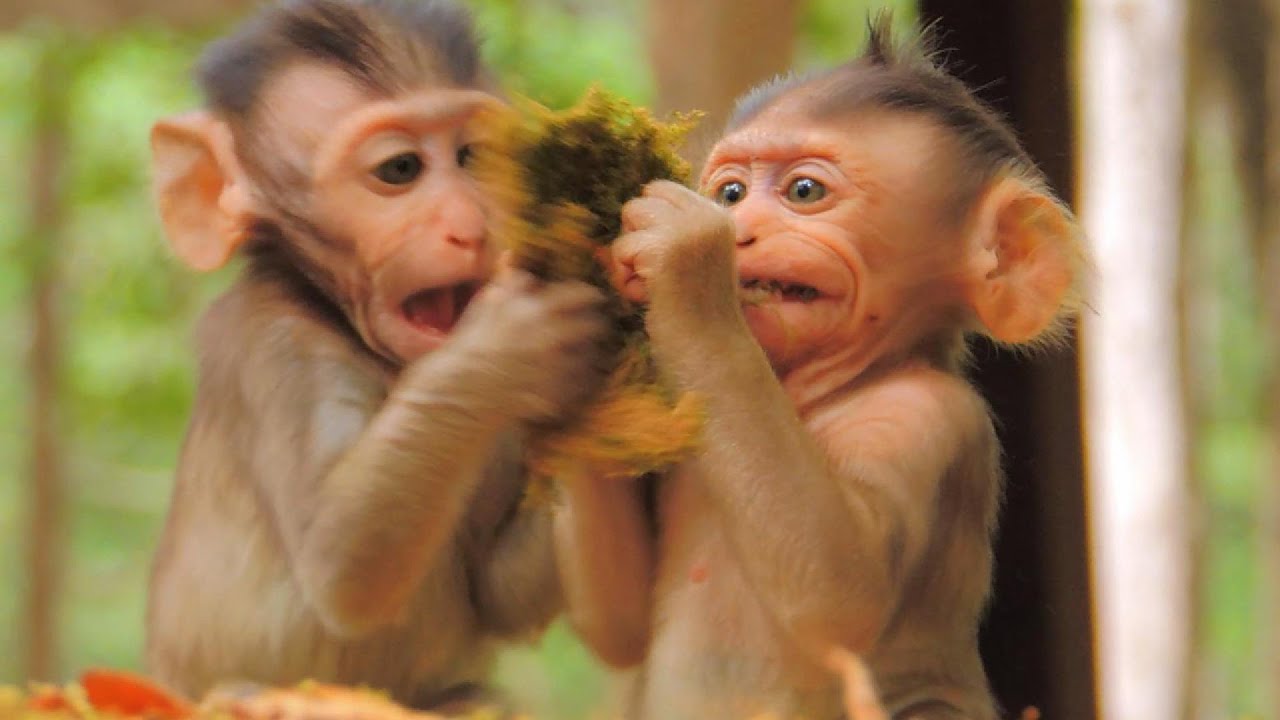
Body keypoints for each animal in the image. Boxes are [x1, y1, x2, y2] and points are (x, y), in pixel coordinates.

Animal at [144, 0, 609, 710]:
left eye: (470, 157)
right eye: (400, 170)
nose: (470, 225)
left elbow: (497, 593)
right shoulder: (277, 348)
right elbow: (341, 563)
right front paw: (506, 347)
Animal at [553, 18, 1084, 720]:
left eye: (805, 192)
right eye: (730, 192)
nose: (738, 228)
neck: (807, 399)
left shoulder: (925, 417)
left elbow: (840, 587)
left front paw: (687, 258)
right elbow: (620, 624)